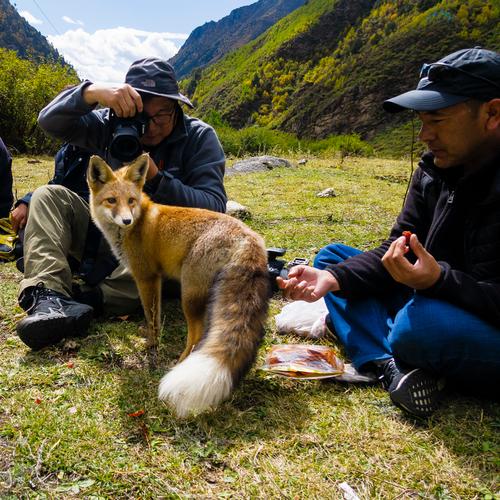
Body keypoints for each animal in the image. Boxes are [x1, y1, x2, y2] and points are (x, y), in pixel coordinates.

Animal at [88, 155, 272, 418]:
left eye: (130, 200)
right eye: (111, 200)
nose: (126, 220)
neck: (137, 222)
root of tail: (250, 238)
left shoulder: (146, 277)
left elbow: (152, 318)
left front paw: (152, 345)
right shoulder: (157, 278)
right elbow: (155, 318)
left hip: (190, 296)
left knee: (195, 337)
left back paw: (178, 364)